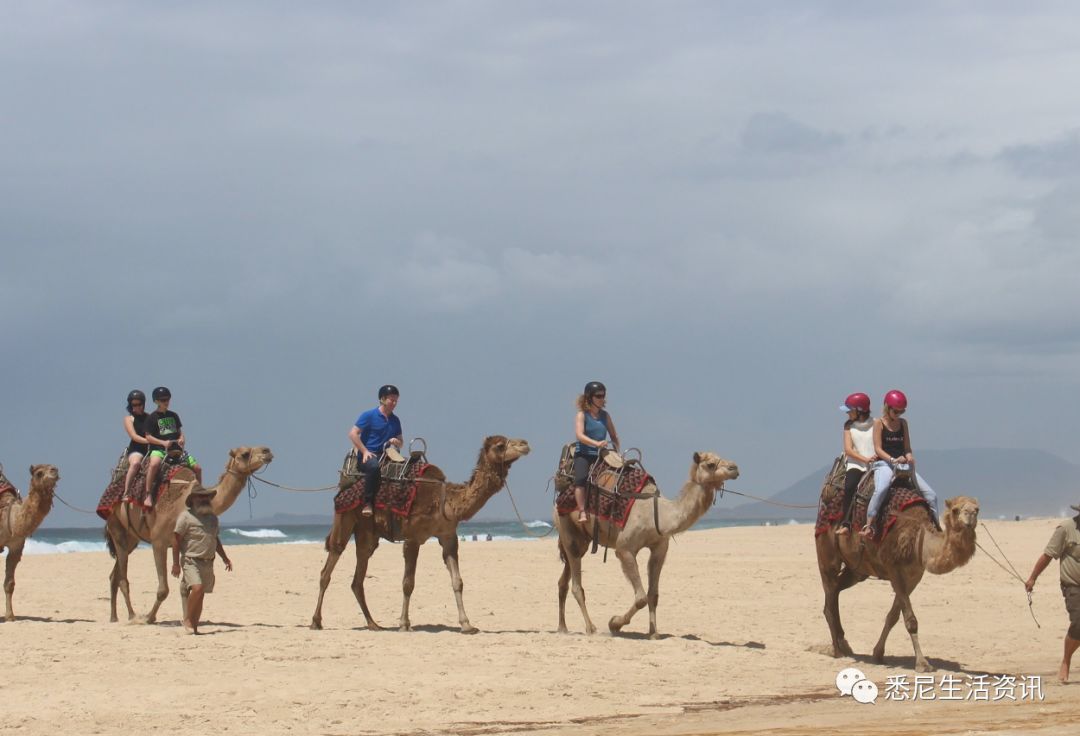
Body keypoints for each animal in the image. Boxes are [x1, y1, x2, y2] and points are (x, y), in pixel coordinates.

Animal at [0, 464, 59, 618]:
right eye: (39, 473)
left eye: (53, 468)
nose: (54, 471)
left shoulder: (16, 546)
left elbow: (9, 583)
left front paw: (10, 616)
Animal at [101, 445, 272, 622]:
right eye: (245, 454)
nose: (267, 451)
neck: (183, 503)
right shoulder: (158, 541)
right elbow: (163, 590)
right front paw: (149, 618)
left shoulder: (183, 543)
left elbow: (185, 587)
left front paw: (186, 619)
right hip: (116, 525)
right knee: (123, 578)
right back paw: (132, 615)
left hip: (132, 539)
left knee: (114, 575)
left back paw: (114, 617)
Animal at [311, 436, 529, 631]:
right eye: (500, 445)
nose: (525, 444)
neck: (444, 501)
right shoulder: (412, 538)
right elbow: (408, 583)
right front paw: (404, 624)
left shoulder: (449, 536)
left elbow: (457, 581)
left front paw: (467, 625)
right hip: (344, 516)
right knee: (329, 565)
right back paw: (316, 621)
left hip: (367, 532)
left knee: (358, 576)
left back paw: (374, 624)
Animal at [552, 447, 738, 635]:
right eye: (711, 464)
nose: (735, 468)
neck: (659, 514)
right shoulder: (624, 549)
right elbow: (641, 598)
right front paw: (614, 623)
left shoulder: (659, 549)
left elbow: (653, 595)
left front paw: (653, 633)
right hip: (566, 528)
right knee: (576, 585)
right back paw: (590, 628)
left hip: (582, 539)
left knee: (563, 581)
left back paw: (562, 627)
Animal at [812, 492, 984, 670]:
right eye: (956, 510)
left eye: (977, 509)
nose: (970, 515)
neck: (919, 541)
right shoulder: (894, 571)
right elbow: (911, 620)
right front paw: (922, 663)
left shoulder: (914, 577)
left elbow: (893, 616)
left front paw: (878, 654)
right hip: (826, 553)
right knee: (830, 594)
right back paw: (837, 650)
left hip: (857, 570)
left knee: (836, 591)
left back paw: (844, 644)